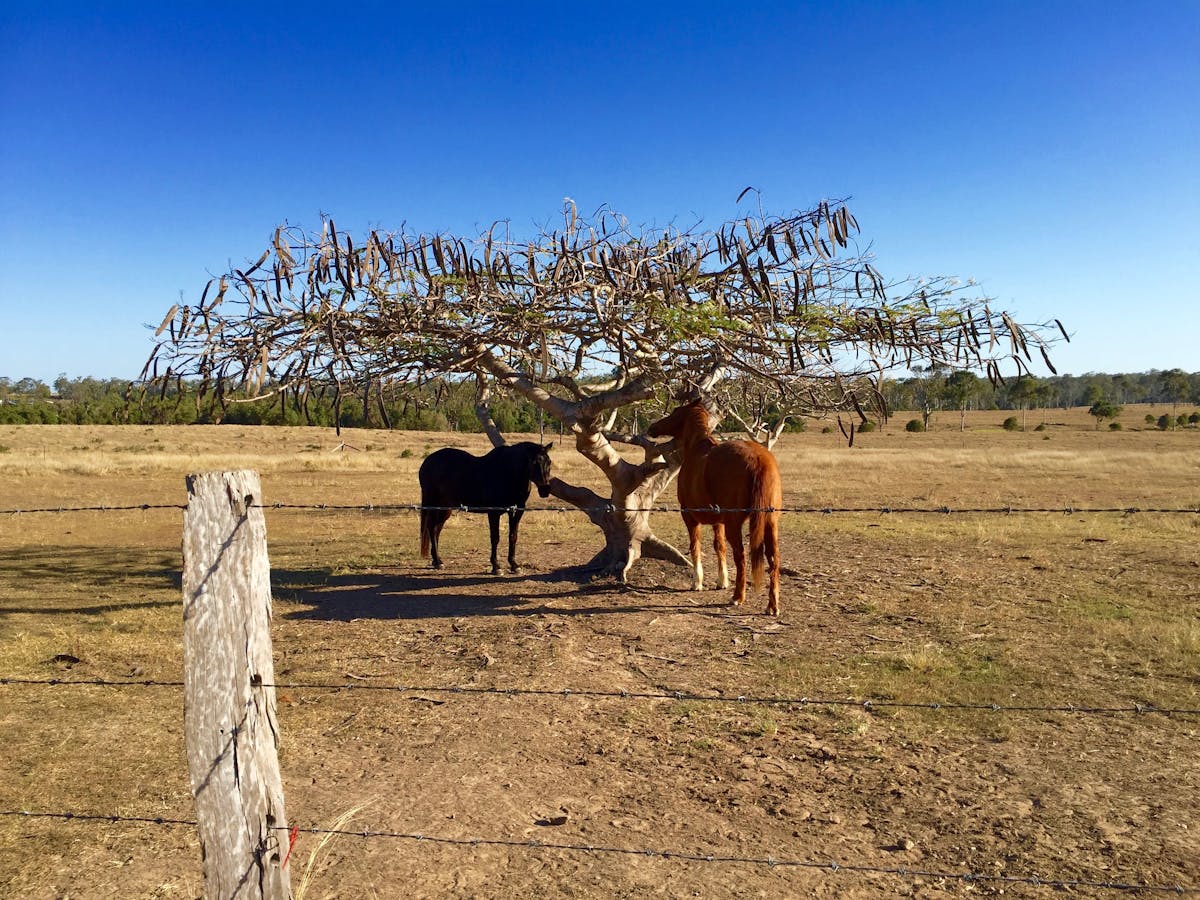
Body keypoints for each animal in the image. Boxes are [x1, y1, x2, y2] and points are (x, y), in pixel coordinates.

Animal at [419, 441, 554, 575]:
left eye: (549, 462)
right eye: (534, 462)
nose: (545, 489)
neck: (507, 474)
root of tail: (427, 461)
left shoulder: (517, 511)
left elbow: (513, 537)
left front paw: (514, 565)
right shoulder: (493, 512)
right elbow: (495, 538)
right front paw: (496, 567)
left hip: (445, 508)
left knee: (436, 529)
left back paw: (437, 561)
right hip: (433, 503)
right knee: (432, 528)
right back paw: (437, 561)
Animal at [647, 400, 782, 615]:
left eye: (676, 412)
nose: (653, 427)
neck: (697, 447)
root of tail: (759, 459)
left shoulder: (690, 517)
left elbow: (695, 546)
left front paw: (697, 582)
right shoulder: (718, 521)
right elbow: (719, 547)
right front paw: (722, 580)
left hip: (735, 524)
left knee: (741, 556)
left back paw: (738, 597)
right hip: (770, 522)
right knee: (773, 559)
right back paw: (772, 605)